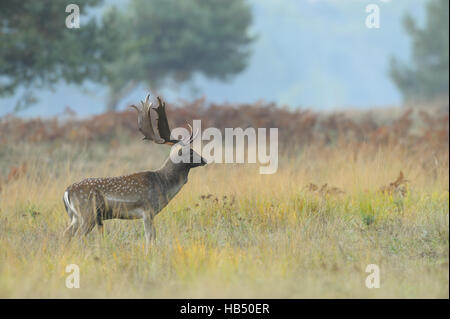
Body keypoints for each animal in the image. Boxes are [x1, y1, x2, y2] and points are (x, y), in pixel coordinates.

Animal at [62, 94, 207, 249]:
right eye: (190, 151)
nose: (204, 160)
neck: (163, 184)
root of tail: (67, 191)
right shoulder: (148, 210)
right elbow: (150, 237)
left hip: (76, 217)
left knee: (66, 233)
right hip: (88, 213)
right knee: (78, 236)